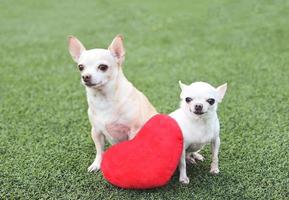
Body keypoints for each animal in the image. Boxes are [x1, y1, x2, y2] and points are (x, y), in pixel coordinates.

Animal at [67, 34, 156, 172]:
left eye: (103, 67)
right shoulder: (96, 131)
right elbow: (99, 150)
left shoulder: (133, 131)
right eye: (80, 67)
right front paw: (97, 164)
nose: (85, 76)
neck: (103, 99)